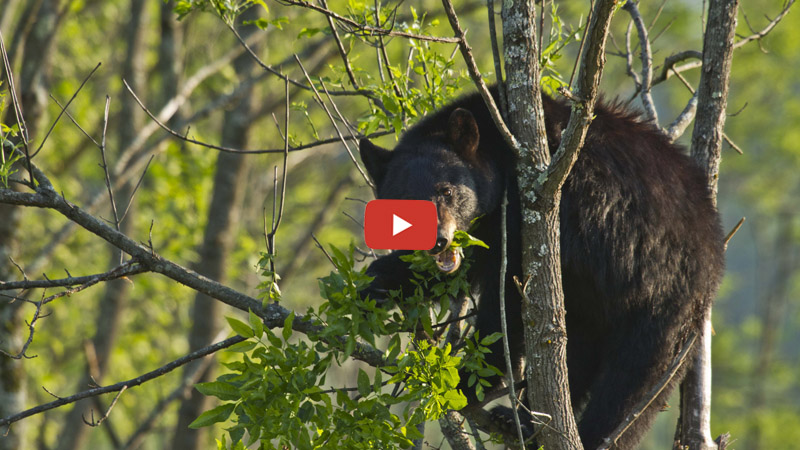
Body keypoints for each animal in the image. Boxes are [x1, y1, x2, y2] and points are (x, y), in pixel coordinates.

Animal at [358, 87, 725, 449]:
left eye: (445, 191)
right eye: (402, 201)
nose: (438, 240)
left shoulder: (528, 209)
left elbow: (508, 295)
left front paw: (469, 378)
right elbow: (449, 272)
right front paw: (372, 286)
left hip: (660, 293)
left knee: (633, 381)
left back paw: (587, 433)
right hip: (592, 306)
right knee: (572, 357)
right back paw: (522, 421)